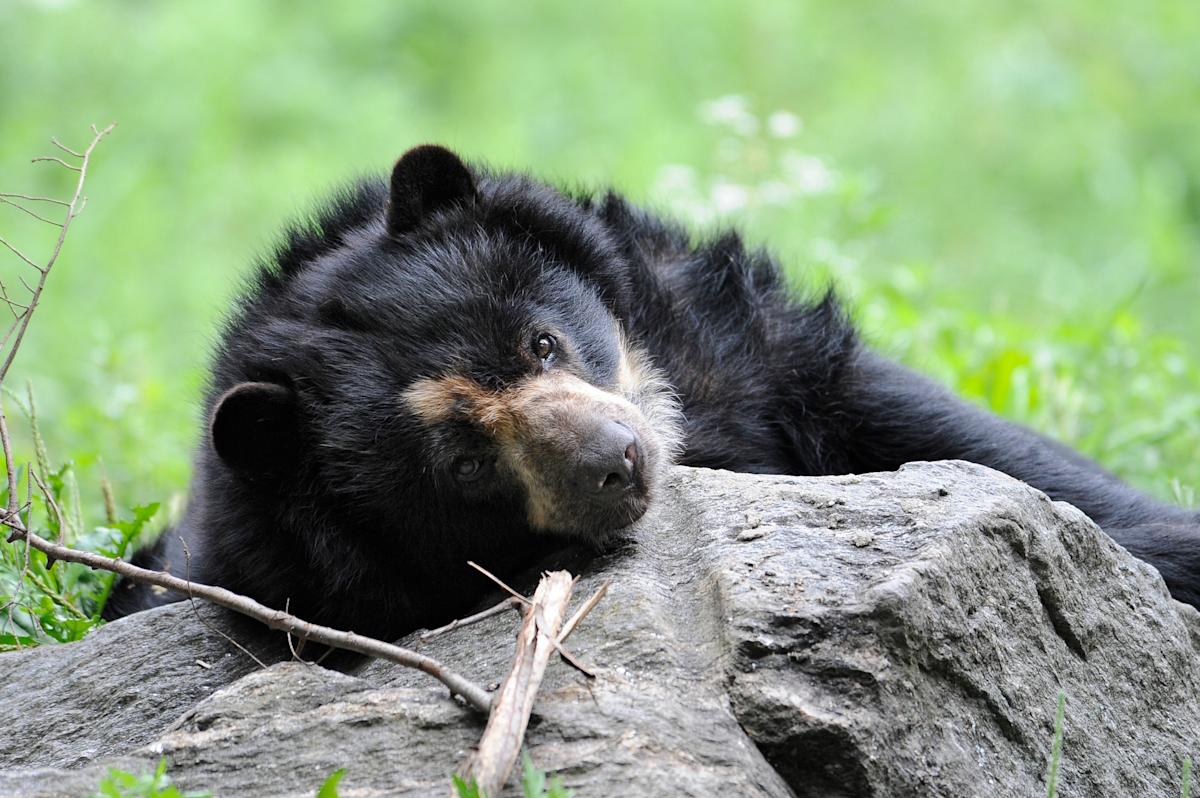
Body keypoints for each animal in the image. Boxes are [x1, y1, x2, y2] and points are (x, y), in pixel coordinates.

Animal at [100, 139, 1200, 633]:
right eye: (463, 461)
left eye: (543, 342)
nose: (618, 462)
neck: (686, 422)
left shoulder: (735, 340)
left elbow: (956, 435)